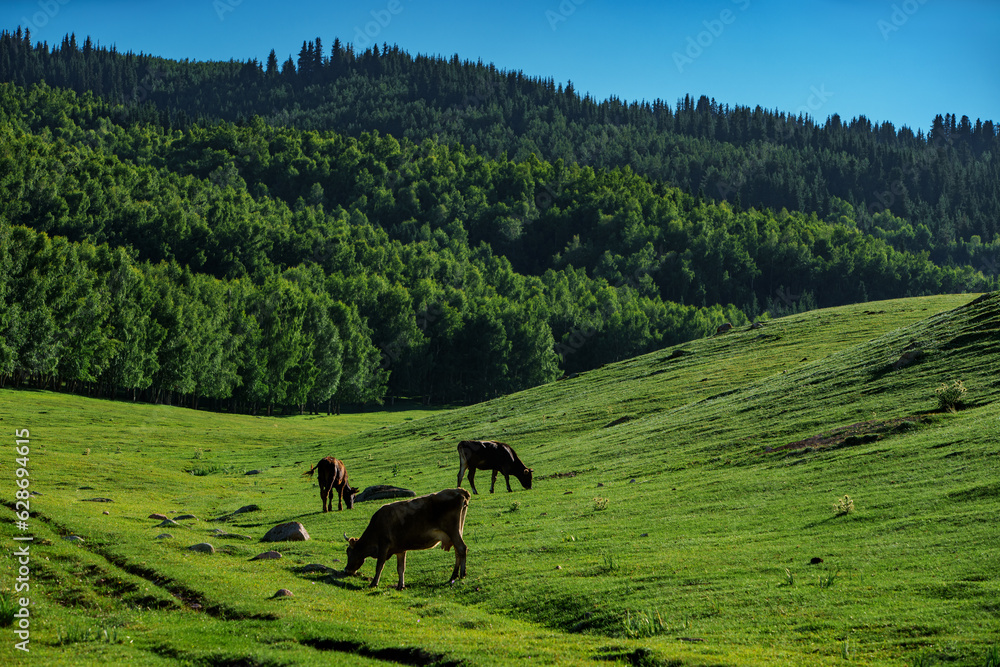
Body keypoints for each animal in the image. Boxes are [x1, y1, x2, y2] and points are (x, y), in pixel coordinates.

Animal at [342, 488, 470, 592]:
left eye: (349, 552)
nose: (346, 570)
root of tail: (459, 491)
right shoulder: (400, 550)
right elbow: (401, 568)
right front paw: (400, 585)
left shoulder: (383, 546)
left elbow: (380, 565)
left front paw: (374, 583)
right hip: (457, 531)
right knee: (458, 552)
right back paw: (454, 575)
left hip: (453, 531)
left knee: (461, 548)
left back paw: (462, 574)